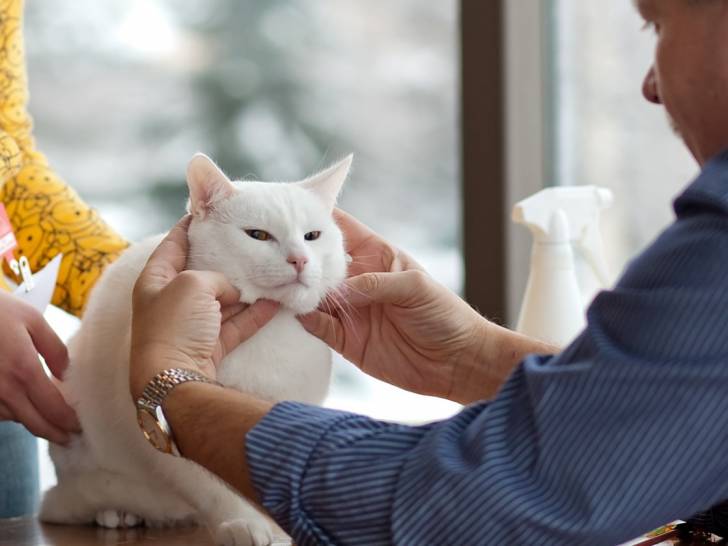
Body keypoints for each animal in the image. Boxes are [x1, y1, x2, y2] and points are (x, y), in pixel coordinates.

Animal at [39, 150, 352, 544]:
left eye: (312, 236)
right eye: (258, 235)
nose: (300, 259)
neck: (269, 337)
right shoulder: (169, 437)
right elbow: (214, 487)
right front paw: (245, 522)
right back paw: (118, 512)